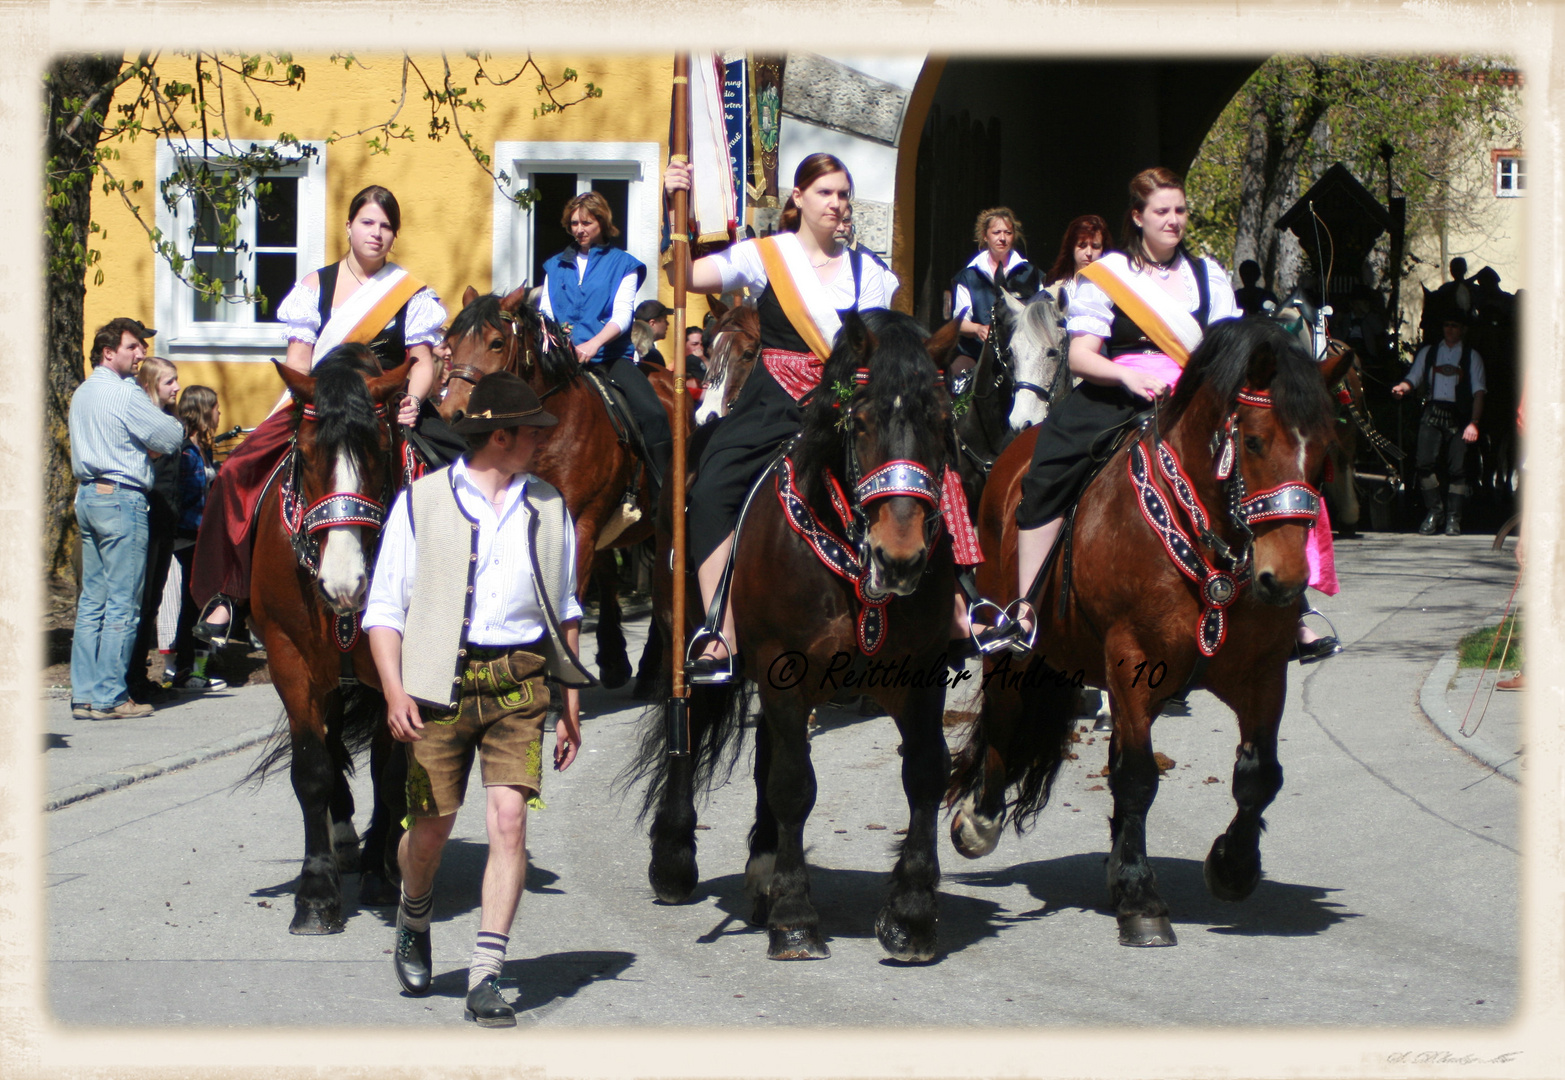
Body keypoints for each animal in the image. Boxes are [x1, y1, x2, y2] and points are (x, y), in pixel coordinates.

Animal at [239, 349, 406, 926]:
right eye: (307, 456)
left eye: (380, 451)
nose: (344, 583)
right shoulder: (290, 657)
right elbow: (312, 768)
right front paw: (315, 891)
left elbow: (390, 772)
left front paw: (384, 871)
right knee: (332, 744)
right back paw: (344, 836)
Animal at [438, 286, 688, 685]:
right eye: (449, 344)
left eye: (496, 343)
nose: (453, 414)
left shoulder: (580, 524)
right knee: (607, 571)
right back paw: (615, 659)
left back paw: (650, 665)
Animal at [629, 306, 957, 957]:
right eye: (860, 421)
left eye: (938, 420)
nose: (901, 558)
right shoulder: (785, 669)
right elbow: (793, 785)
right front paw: (795, 915)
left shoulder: (920, 678)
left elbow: (925, 774)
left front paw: (910, 913)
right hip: (689, 638)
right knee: (690, 728)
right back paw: (676, 860)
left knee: (765, 748)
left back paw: (761, 866)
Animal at [945, 317, 1352, 939]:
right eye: (1254, 441)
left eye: (1326, 450)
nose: (1283, 580)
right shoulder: (1132, 661)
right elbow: (1137, 776)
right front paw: (1141, 898)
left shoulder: (1260, 673)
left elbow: (1258, 775)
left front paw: (1232, 866)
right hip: (1012, 649)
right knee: (1004, 721)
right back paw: (980, 821)